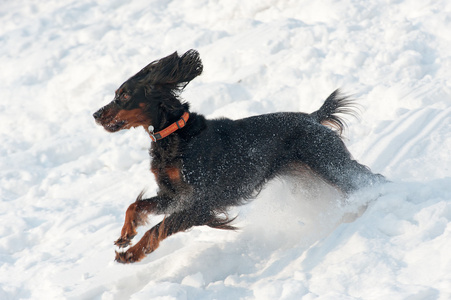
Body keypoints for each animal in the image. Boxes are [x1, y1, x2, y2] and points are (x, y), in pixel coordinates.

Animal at [94, 49, 384, 262]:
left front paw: (131, 254)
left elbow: (158, 228)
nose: (96, 114)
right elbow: (135, 206)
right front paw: (125, 234)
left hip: (328, 163)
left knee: (372, 180)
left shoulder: (200, 203)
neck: (175, 135)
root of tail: (314, 118)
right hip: (308, 179)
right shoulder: (173, 195)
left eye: (124, 95)